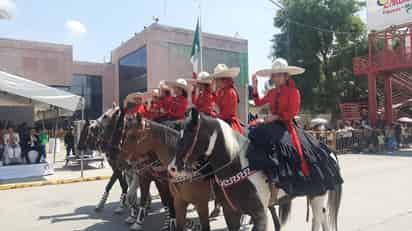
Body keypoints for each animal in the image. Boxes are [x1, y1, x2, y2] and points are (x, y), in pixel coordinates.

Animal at [169, 108, 342, 231]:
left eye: (190, 135)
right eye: (178, 135)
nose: (173, 168)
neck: (237, 166)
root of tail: (327, 149)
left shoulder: (259, 214)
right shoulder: (231, 213)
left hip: (317, 195)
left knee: (317, 220)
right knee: (323, 217)